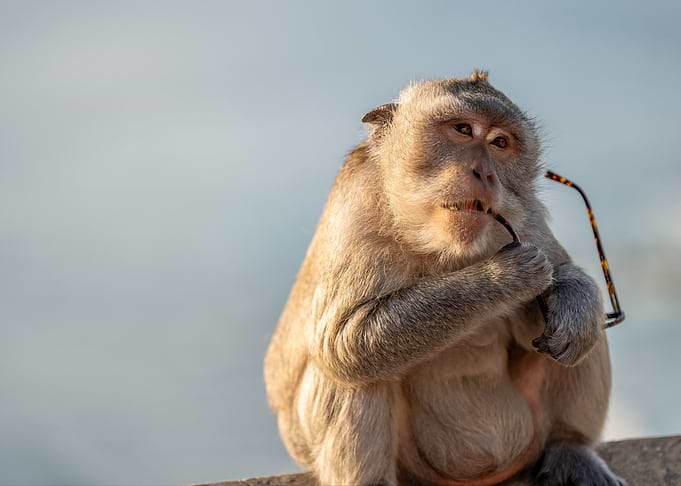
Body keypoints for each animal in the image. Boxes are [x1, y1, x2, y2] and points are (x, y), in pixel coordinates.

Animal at [264, 70, 625, 486]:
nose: (484, 172)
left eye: (500, 143)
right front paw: (505, 277)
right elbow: (344, 339)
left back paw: (571, 445)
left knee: (587, 334)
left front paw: (573, 298)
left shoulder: (527, 215)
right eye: (463, 129)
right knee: (354, 371)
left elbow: (551, 305)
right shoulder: (355, 211)